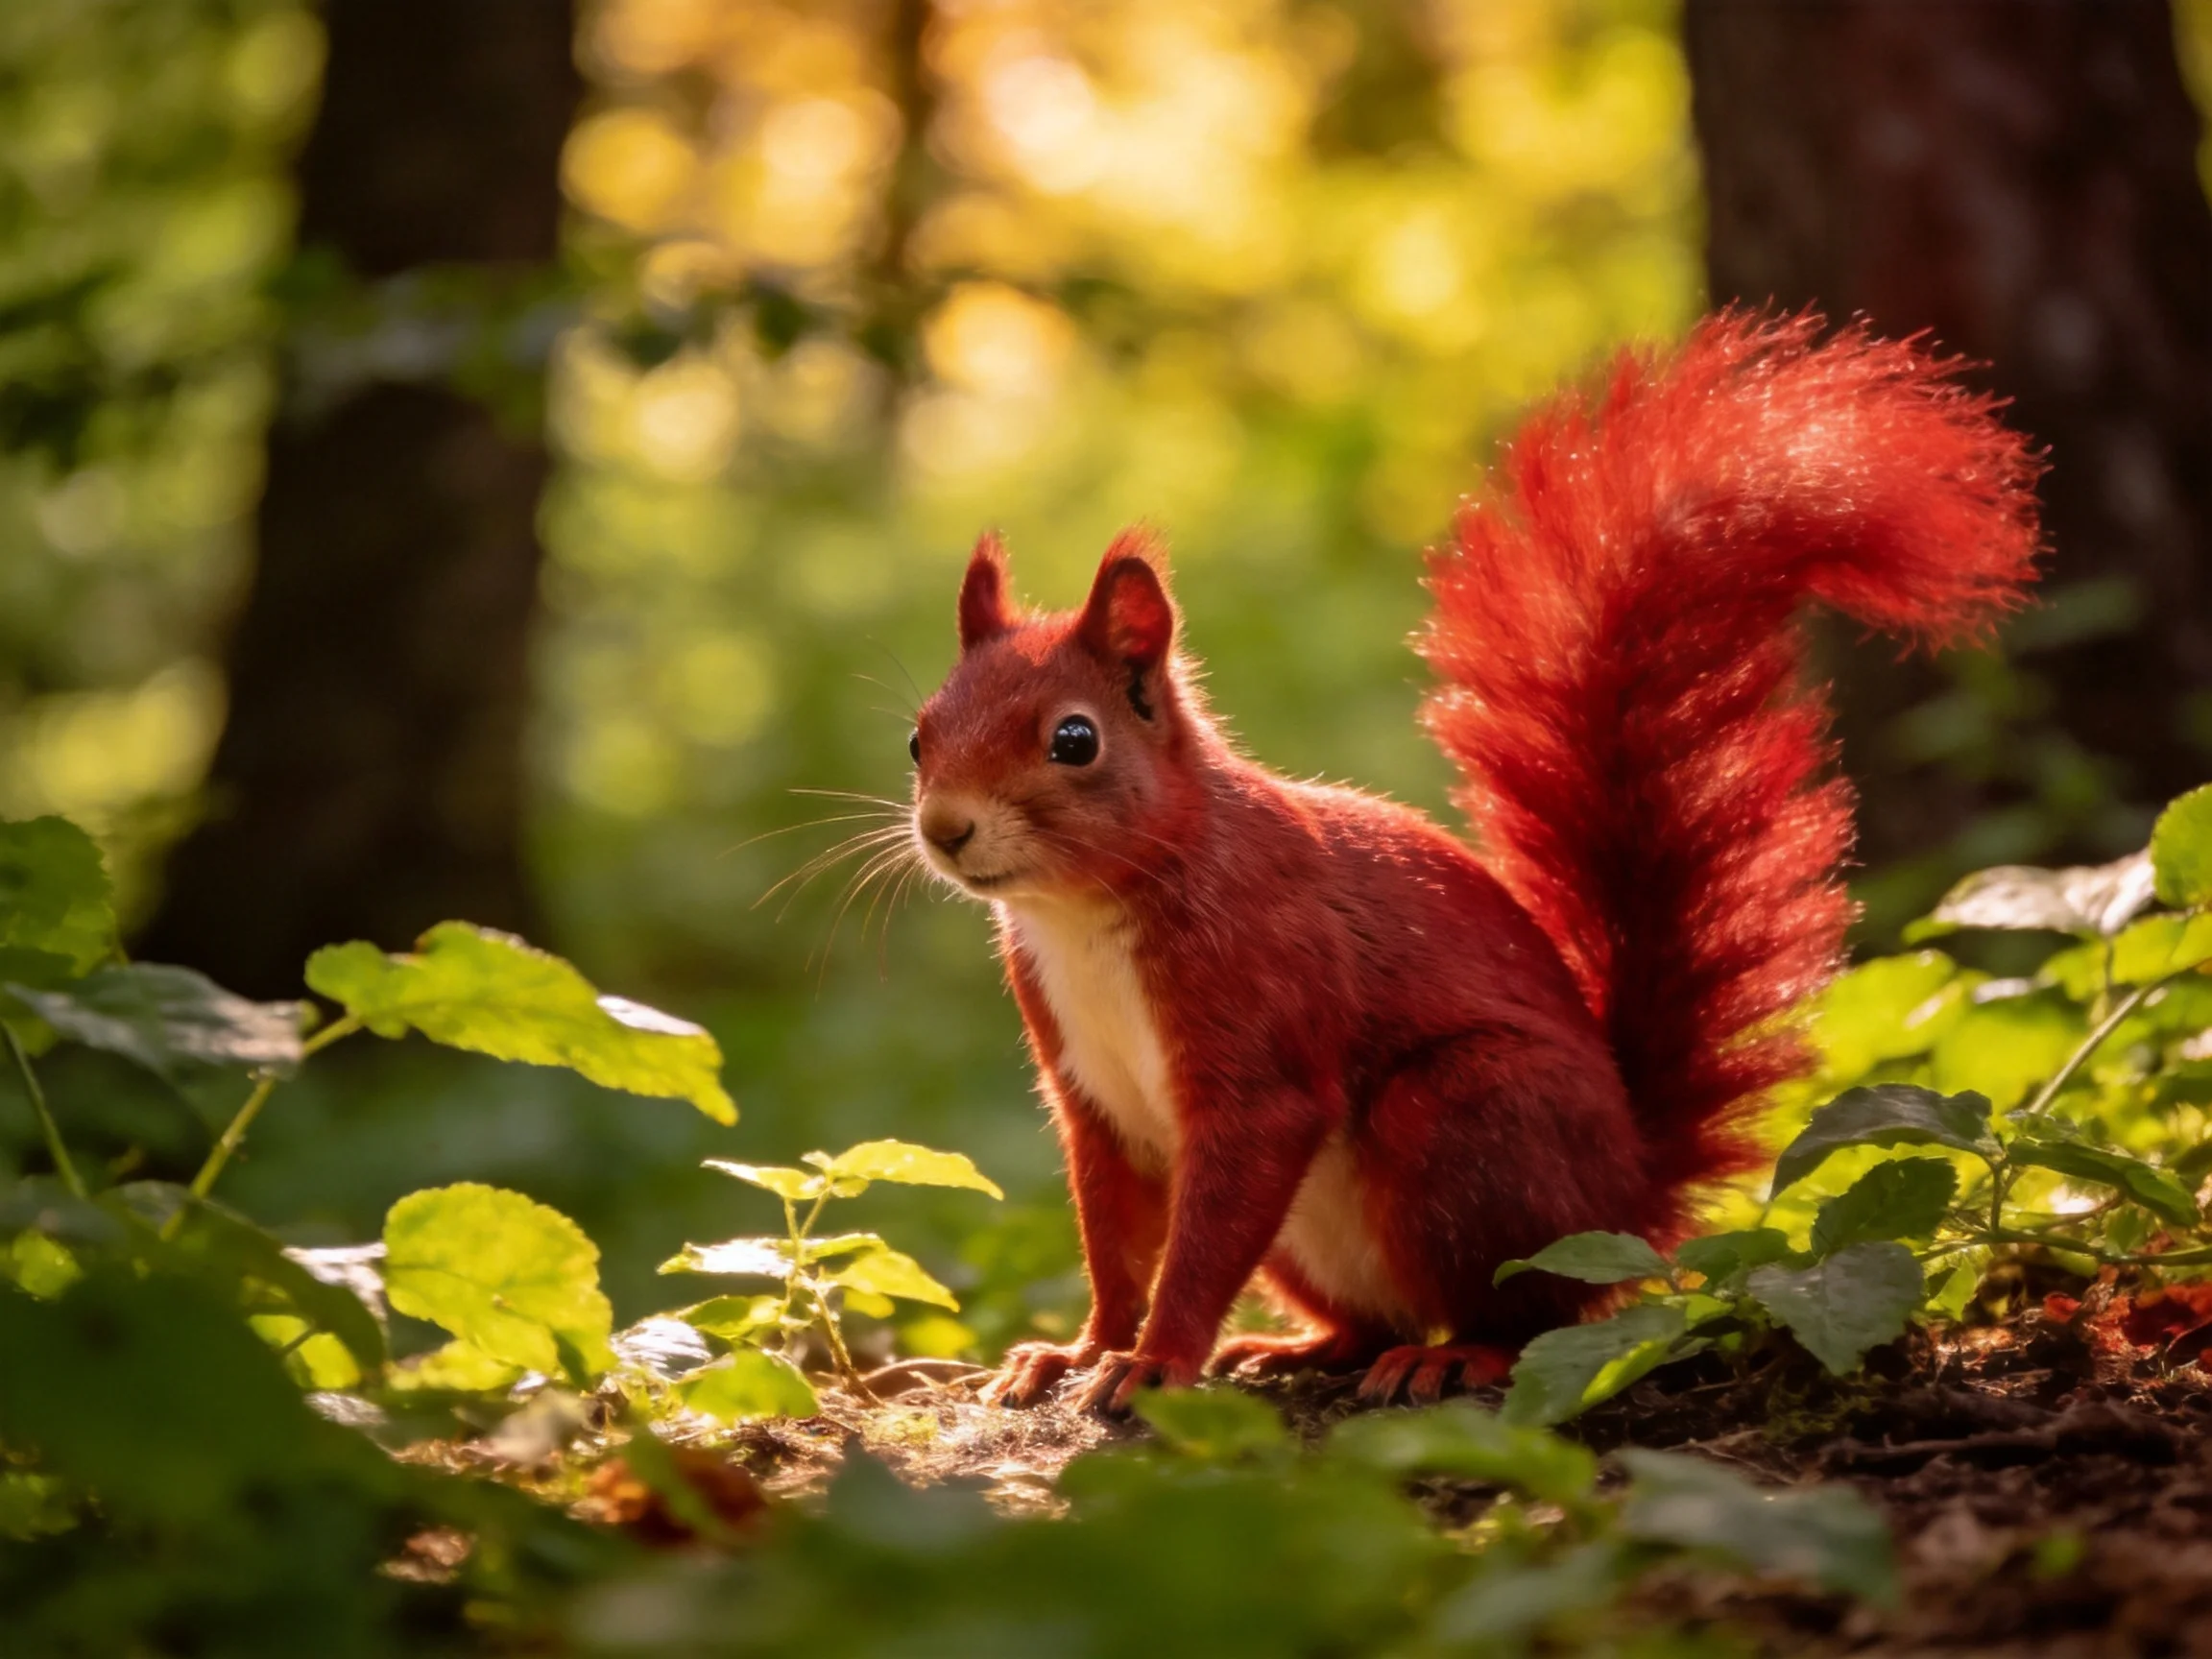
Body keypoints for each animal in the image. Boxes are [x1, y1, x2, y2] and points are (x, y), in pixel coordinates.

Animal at [905, 312, 2042, 1414]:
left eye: (1075, 740)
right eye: (919, 736)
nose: (945, 828)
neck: (1090, 912)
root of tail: (1629, 1189)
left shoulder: (1261, 1016)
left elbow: (1207, 1228)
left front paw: (1154, 1362)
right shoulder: (1093, 1099)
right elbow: (1115, 1241)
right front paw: (1077, 1350)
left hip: (1467, 1120)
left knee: (1529, 1316)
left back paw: (1454, 1359)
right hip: (1323, 1235)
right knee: (1375, 1320)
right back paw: (1302, 1346)